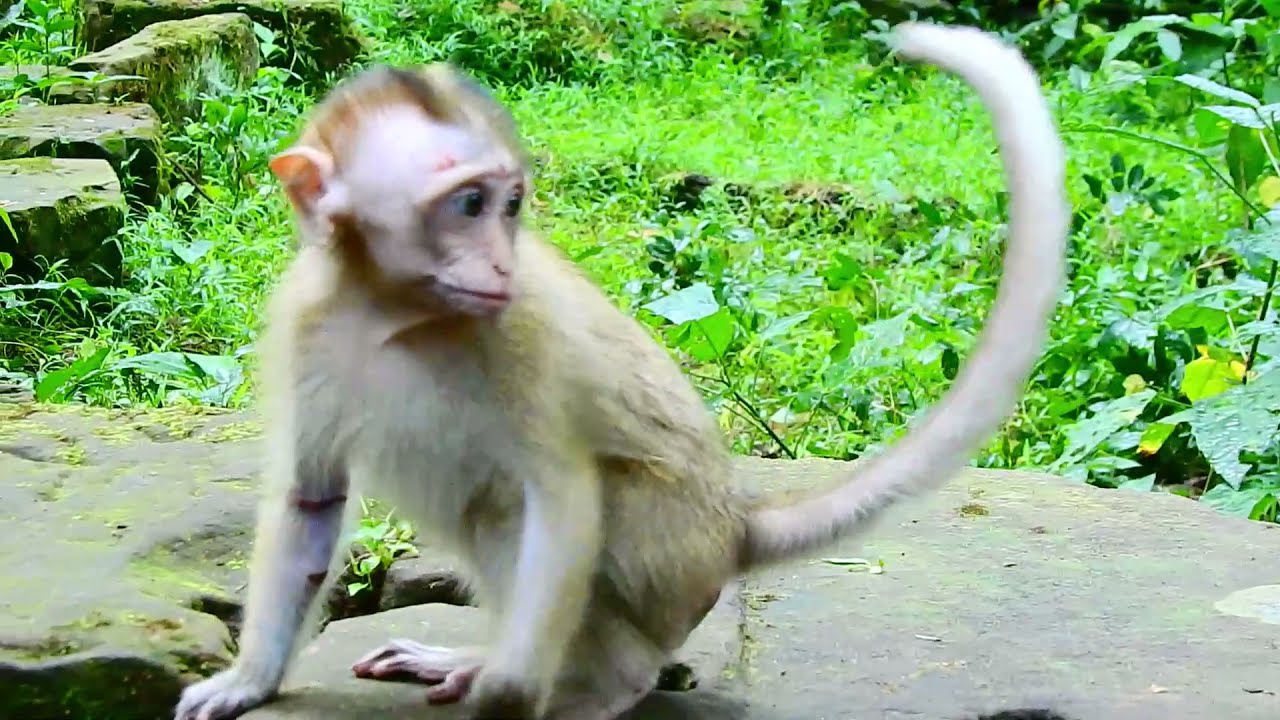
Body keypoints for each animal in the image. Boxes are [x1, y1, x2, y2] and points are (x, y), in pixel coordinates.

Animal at [173, 20, 1068, 720]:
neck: (398, 315)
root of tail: (733, 524)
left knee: (521, 512)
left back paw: (600, 683)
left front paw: (508, 693)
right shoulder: (304, 327)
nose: (499, 263)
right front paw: (250, 680)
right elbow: (311, 500)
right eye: (469, 203)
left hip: (668, 561)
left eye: (509, 203)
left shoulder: (521, 335)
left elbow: (560, 495)